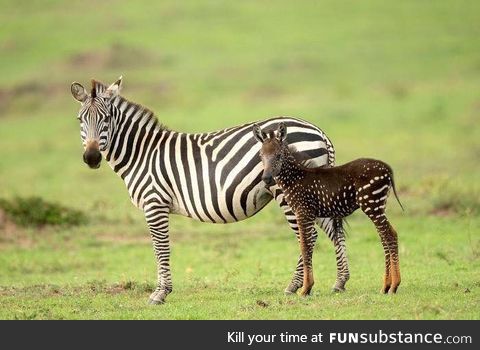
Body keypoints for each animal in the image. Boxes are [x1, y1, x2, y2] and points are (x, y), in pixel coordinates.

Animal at [70, 76, 348, 304]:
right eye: (80, 120)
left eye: (106, 119)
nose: (92, 158)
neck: (142, 154)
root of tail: (318, 131)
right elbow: (158, 247)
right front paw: (161, 290)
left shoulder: (155, 203)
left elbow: (161, 247)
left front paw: (160, 293)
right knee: (331, 231)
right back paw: (339, 282)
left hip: (290, 191)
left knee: (308, 235)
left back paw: (297, 286)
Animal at [253, 122, 404, 296]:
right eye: (261, 156)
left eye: (278, 155)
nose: (266, 179)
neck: (295, 178)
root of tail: (386, 168)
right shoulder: (308, 214)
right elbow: (307, 246)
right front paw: (307, 287)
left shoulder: (303, 212)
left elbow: (305, 247)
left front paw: (305, 289)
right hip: (378, 205)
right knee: (384, 236)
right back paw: (386, 286)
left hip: (371, 204)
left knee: (390, 235)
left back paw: (394, 285)